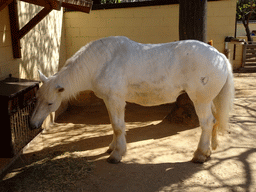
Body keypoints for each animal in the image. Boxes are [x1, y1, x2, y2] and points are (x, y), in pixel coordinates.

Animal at [29, 36, 234, 164]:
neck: (101, 62)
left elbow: (118, 126)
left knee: (206, 123)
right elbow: (114, 125)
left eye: (50, 103)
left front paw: (117, 155)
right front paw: (112, 147)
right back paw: (209, 150)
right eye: (36, 98)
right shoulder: (109, 101)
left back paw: (199, 155)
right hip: (209, 100)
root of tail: (220, 56)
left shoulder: (116, 100)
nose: (32, 124)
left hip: (200, 100)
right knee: (214, 120)